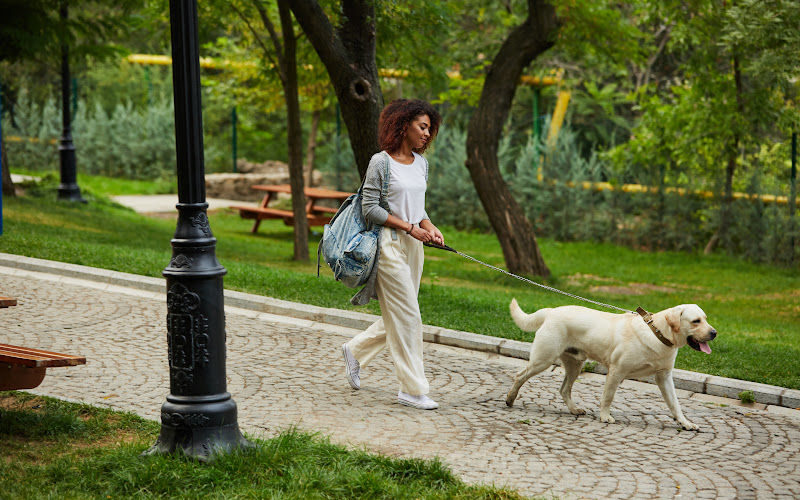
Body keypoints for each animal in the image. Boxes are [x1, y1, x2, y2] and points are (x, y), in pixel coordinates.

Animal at [506, 298, 720, 428]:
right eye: (696, 321)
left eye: (705, 319)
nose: (714, 333)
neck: (658, 334)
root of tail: (551, 311)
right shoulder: (617, 371)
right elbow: (608, 397)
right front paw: (605, 416)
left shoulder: (664, 377)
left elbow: (675, 403)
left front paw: (685, 423)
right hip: (543, 359)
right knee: (519, 376)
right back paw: (510, 398)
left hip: (575, 364)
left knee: (564, 389)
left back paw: (574, 409)